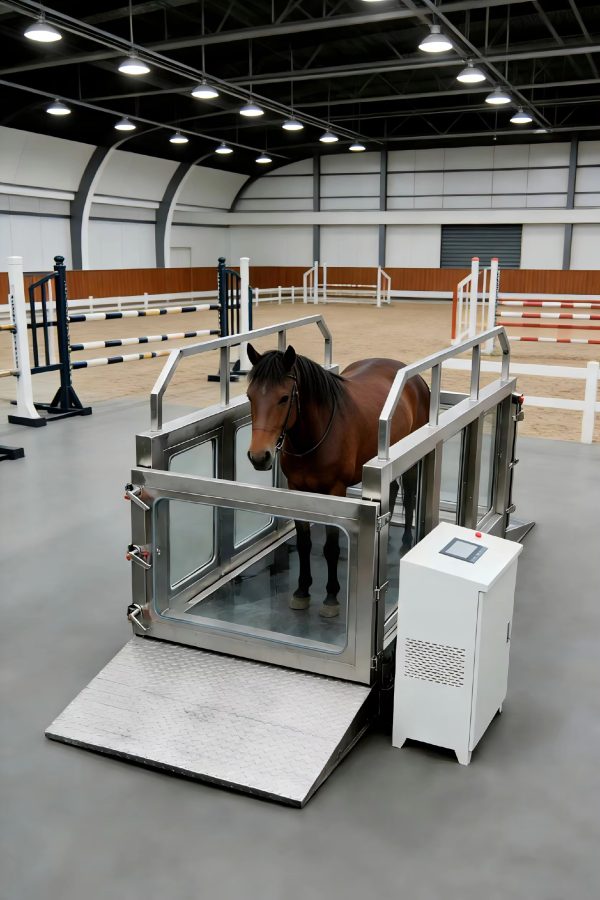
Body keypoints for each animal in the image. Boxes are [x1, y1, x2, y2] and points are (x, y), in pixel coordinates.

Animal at [246, 343, 430, 619]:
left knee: (408, 495)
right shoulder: (297, 489)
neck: (315, 435)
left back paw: (407, 541)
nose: (259, 456)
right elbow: (304, 543)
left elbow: (331, 547)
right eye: (250, 396)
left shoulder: (335, 491)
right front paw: (302, 591)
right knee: (393, 487)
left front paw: (331, 596)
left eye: (284, 398)